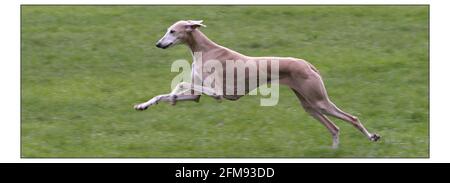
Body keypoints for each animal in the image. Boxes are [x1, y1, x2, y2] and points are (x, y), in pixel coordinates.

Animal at [134, 20, 380, 149]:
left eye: (172, 31)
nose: (158, 44)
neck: (204, 50)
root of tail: (307, 63)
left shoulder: (217, 93)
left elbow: (182, 85)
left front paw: (174, 96)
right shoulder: (198, 95)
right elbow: (165, 95)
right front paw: (143, 105)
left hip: (319, 100)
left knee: (351, 118)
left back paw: (371, 137)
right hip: (309, 105)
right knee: (334, 127)